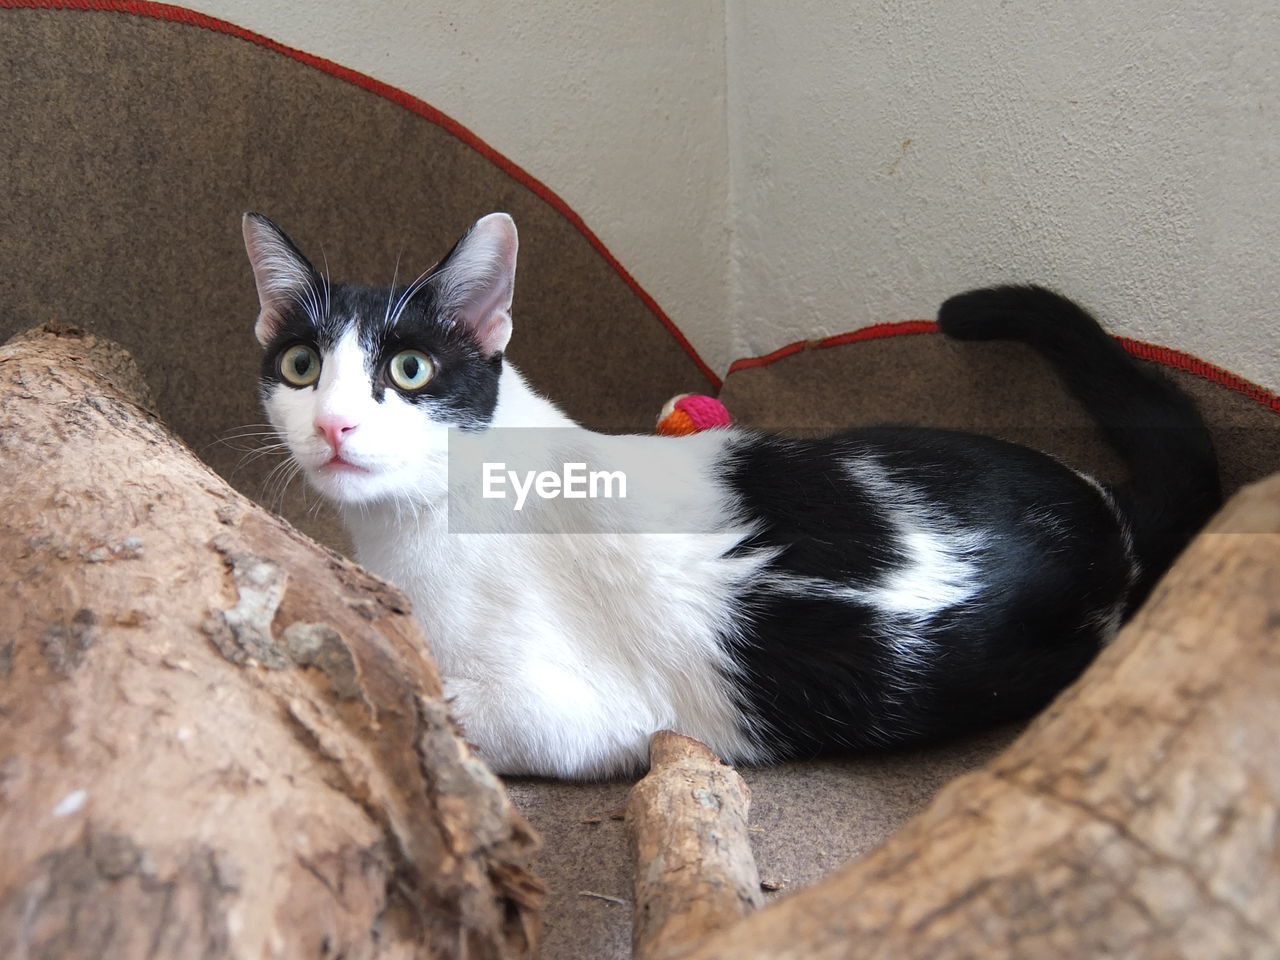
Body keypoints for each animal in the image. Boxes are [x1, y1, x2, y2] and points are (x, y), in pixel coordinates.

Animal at [241, 209, 1218, 783]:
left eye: (409, 371)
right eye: (301, 367)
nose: (334, 425)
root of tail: (1107, 515)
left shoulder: (587, 713)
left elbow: (452, 703)